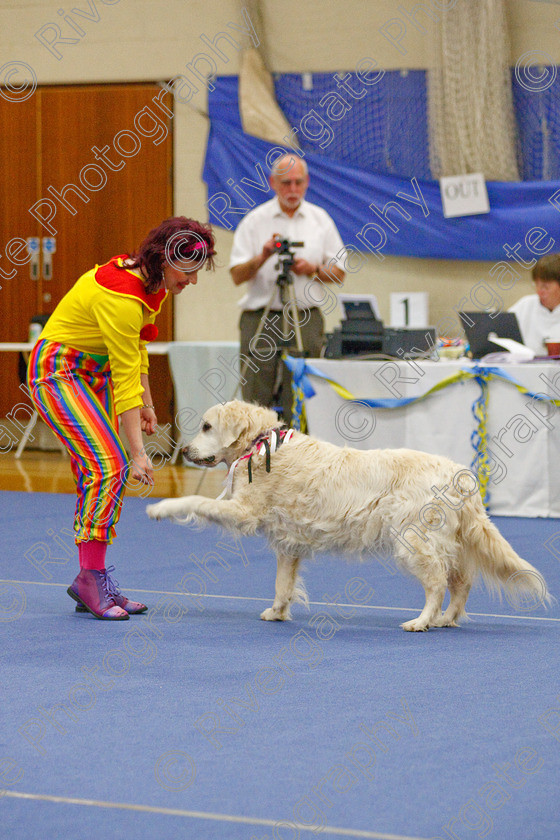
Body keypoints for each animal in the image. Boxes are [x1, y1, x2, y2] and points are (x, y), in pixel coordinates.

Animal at [145, 400, 552, 632]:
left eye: (207, 426)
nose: (184, 450)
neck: (262, 444)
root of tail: (460, 475)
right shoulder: (287, 543)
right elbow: (282, 585)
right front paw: (277, 613)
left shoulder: (242, 512)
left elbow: (193, 501)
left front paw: (160, 508)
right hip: (446, 542)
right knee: (461, 583)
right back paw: (446, 620)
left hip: (414, 542)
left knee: (437, 584)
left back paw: (422, 621)